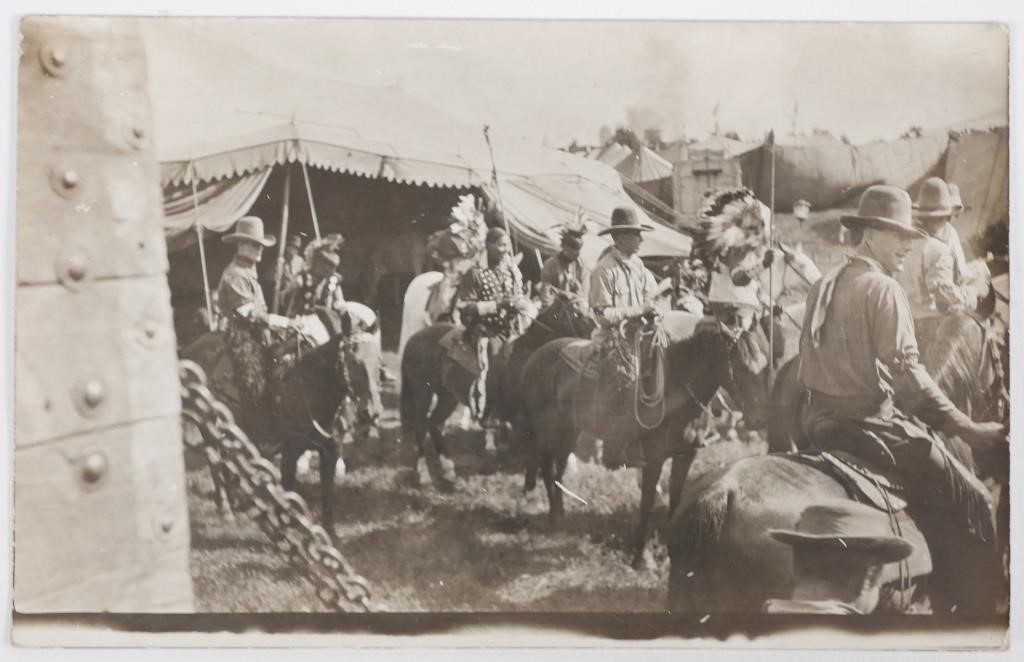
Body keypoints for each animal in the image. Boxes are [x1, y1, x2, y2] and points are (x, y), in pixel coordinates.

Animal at [397, 295, 593, 487]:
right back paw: (422, 473)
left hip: (447, 397)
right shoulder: (521, 419)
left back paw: (448, 471)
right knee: (421, 427)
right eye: (577, 312)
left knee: (435, 425)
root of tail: (413, 339)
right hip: (423, 393)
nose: (593, 338)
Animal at [520, 311, 774, 569]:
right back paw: (552, 516)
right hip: (548, 430)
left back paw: (560, 514)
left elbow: (676, 499)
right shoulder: (653, 458)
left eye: (764, 367)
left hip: (570, 430)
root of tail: (536, 355)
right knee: (546, 466)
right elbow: (647, 502)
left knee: (559, 467)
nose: (760, 419)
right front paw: (640, 557)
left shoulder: (685, 455)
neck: (677, 389)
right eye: (741, 366)